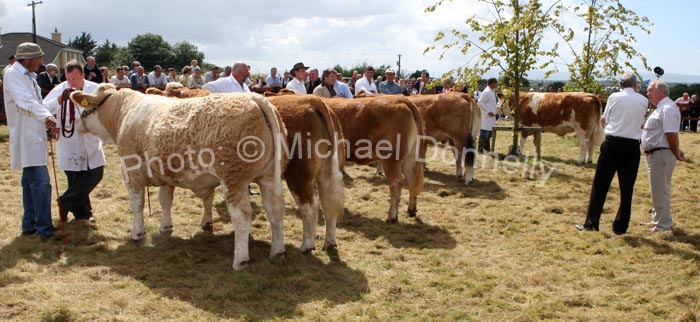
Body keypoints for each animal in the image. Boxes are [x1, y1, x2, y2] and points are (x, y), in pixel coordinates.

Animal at [70, 83, 288, 270]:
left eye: (84, 108)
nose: (75, 123)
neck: (124, 112)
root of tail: (253, 97)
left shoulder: (131, 171)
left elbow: (137, 204)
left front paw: (137, 233)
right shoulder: (166, 174)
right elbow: (165, 200)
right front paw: (165, 226)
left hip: (234, 178)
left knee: (242, 215)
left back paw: (240, 259)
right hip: (268, 176)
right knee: (275, 210)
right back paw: (277, 251)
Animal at [322, 94, 426, 223]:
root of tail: (401, 99)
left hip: (391, 159)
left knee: (396, 183)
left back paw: (392, 217)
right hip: (410, 157)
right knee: (411, 179)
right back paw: (411, 210)